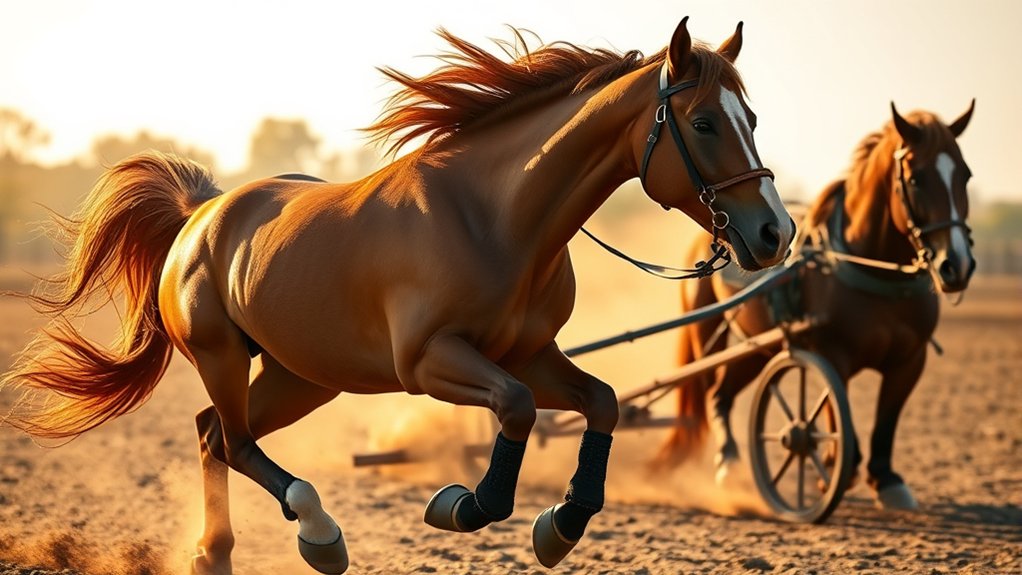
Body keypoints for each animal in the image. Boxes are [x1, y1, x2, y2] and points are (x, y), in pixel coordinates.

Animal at [1, 18, 794, 574]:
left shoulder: (530, 353)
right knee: (235, 440)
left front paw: (558, 528)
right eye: (703, 122)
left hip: (302, 376)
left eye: (753, 119)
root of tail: (203, 213)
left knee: (212, 435)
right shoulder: (430, 362)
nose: (773, 232)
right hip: (225, 355)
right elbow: (516, 411)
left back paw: (216, 554)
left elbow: (599, 402)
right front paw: (460, 505)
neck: (493, 217)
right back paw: (321, 536)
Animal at [653, 100, 976, 512]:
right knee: (710, 393)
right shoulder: (830, 353)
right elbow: (838, 415)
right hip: (707, 333)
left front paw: (886, 481)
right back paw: (727, 464)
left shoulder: (910, 360)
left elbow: (886, 421)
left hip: (756, 346)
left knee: (721, 395)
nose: (957, 265)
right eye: (917, 178)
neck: (872, 271)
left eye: (965, 175)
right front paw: (835, 468)